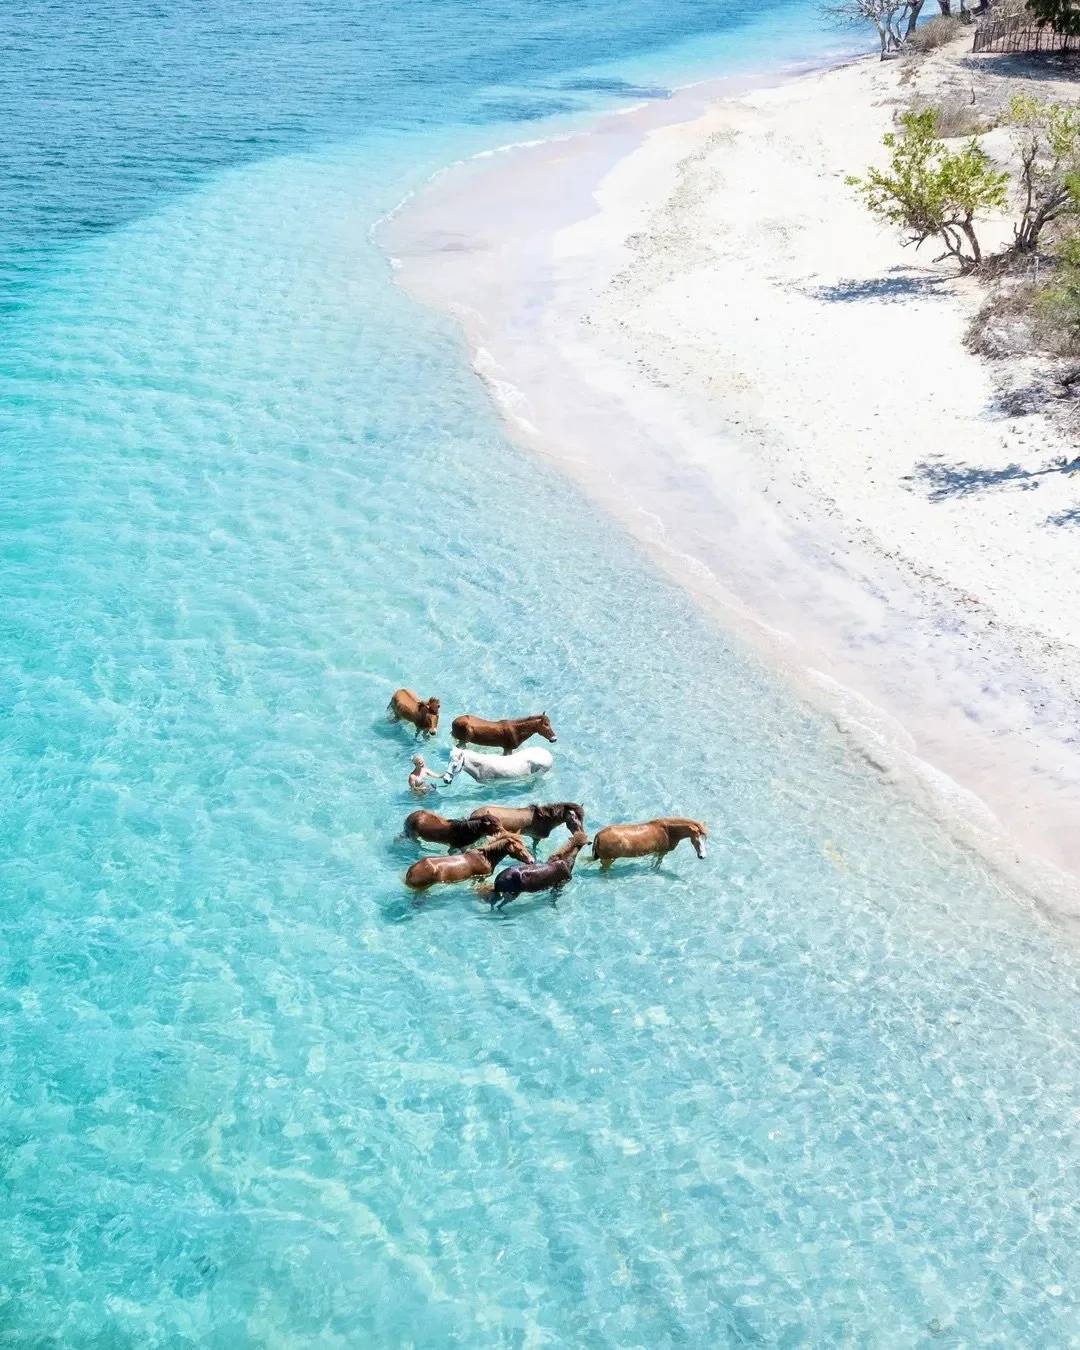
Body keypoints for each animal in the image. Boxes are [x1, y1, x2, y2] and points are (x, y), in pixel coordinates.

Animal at [405, 833, 533, 892]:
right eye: (519, 849)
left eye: (524, 846)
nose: (532, 860)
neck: (486, 857)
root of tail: (410, 871)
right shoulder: (481, 876)